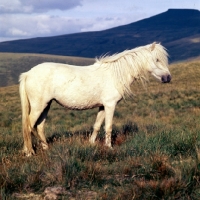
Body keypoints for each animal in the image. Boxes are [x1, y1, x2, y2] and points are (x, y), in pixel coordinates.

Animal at [19, 42, 171, 156]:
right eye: (157, 60)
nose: (168, 78)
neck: (114, 74)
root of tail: (28, 73)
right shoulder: (110, 105)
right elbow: (108, 127)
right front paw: (109, 147)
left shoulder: (103, 106)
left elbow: (97, 125)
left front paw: (91, 143)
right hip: (38, 106)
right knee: (28, 126)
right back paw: (29, 152)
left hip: (46, 105)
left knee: (39, 127)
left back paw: (45, 148)